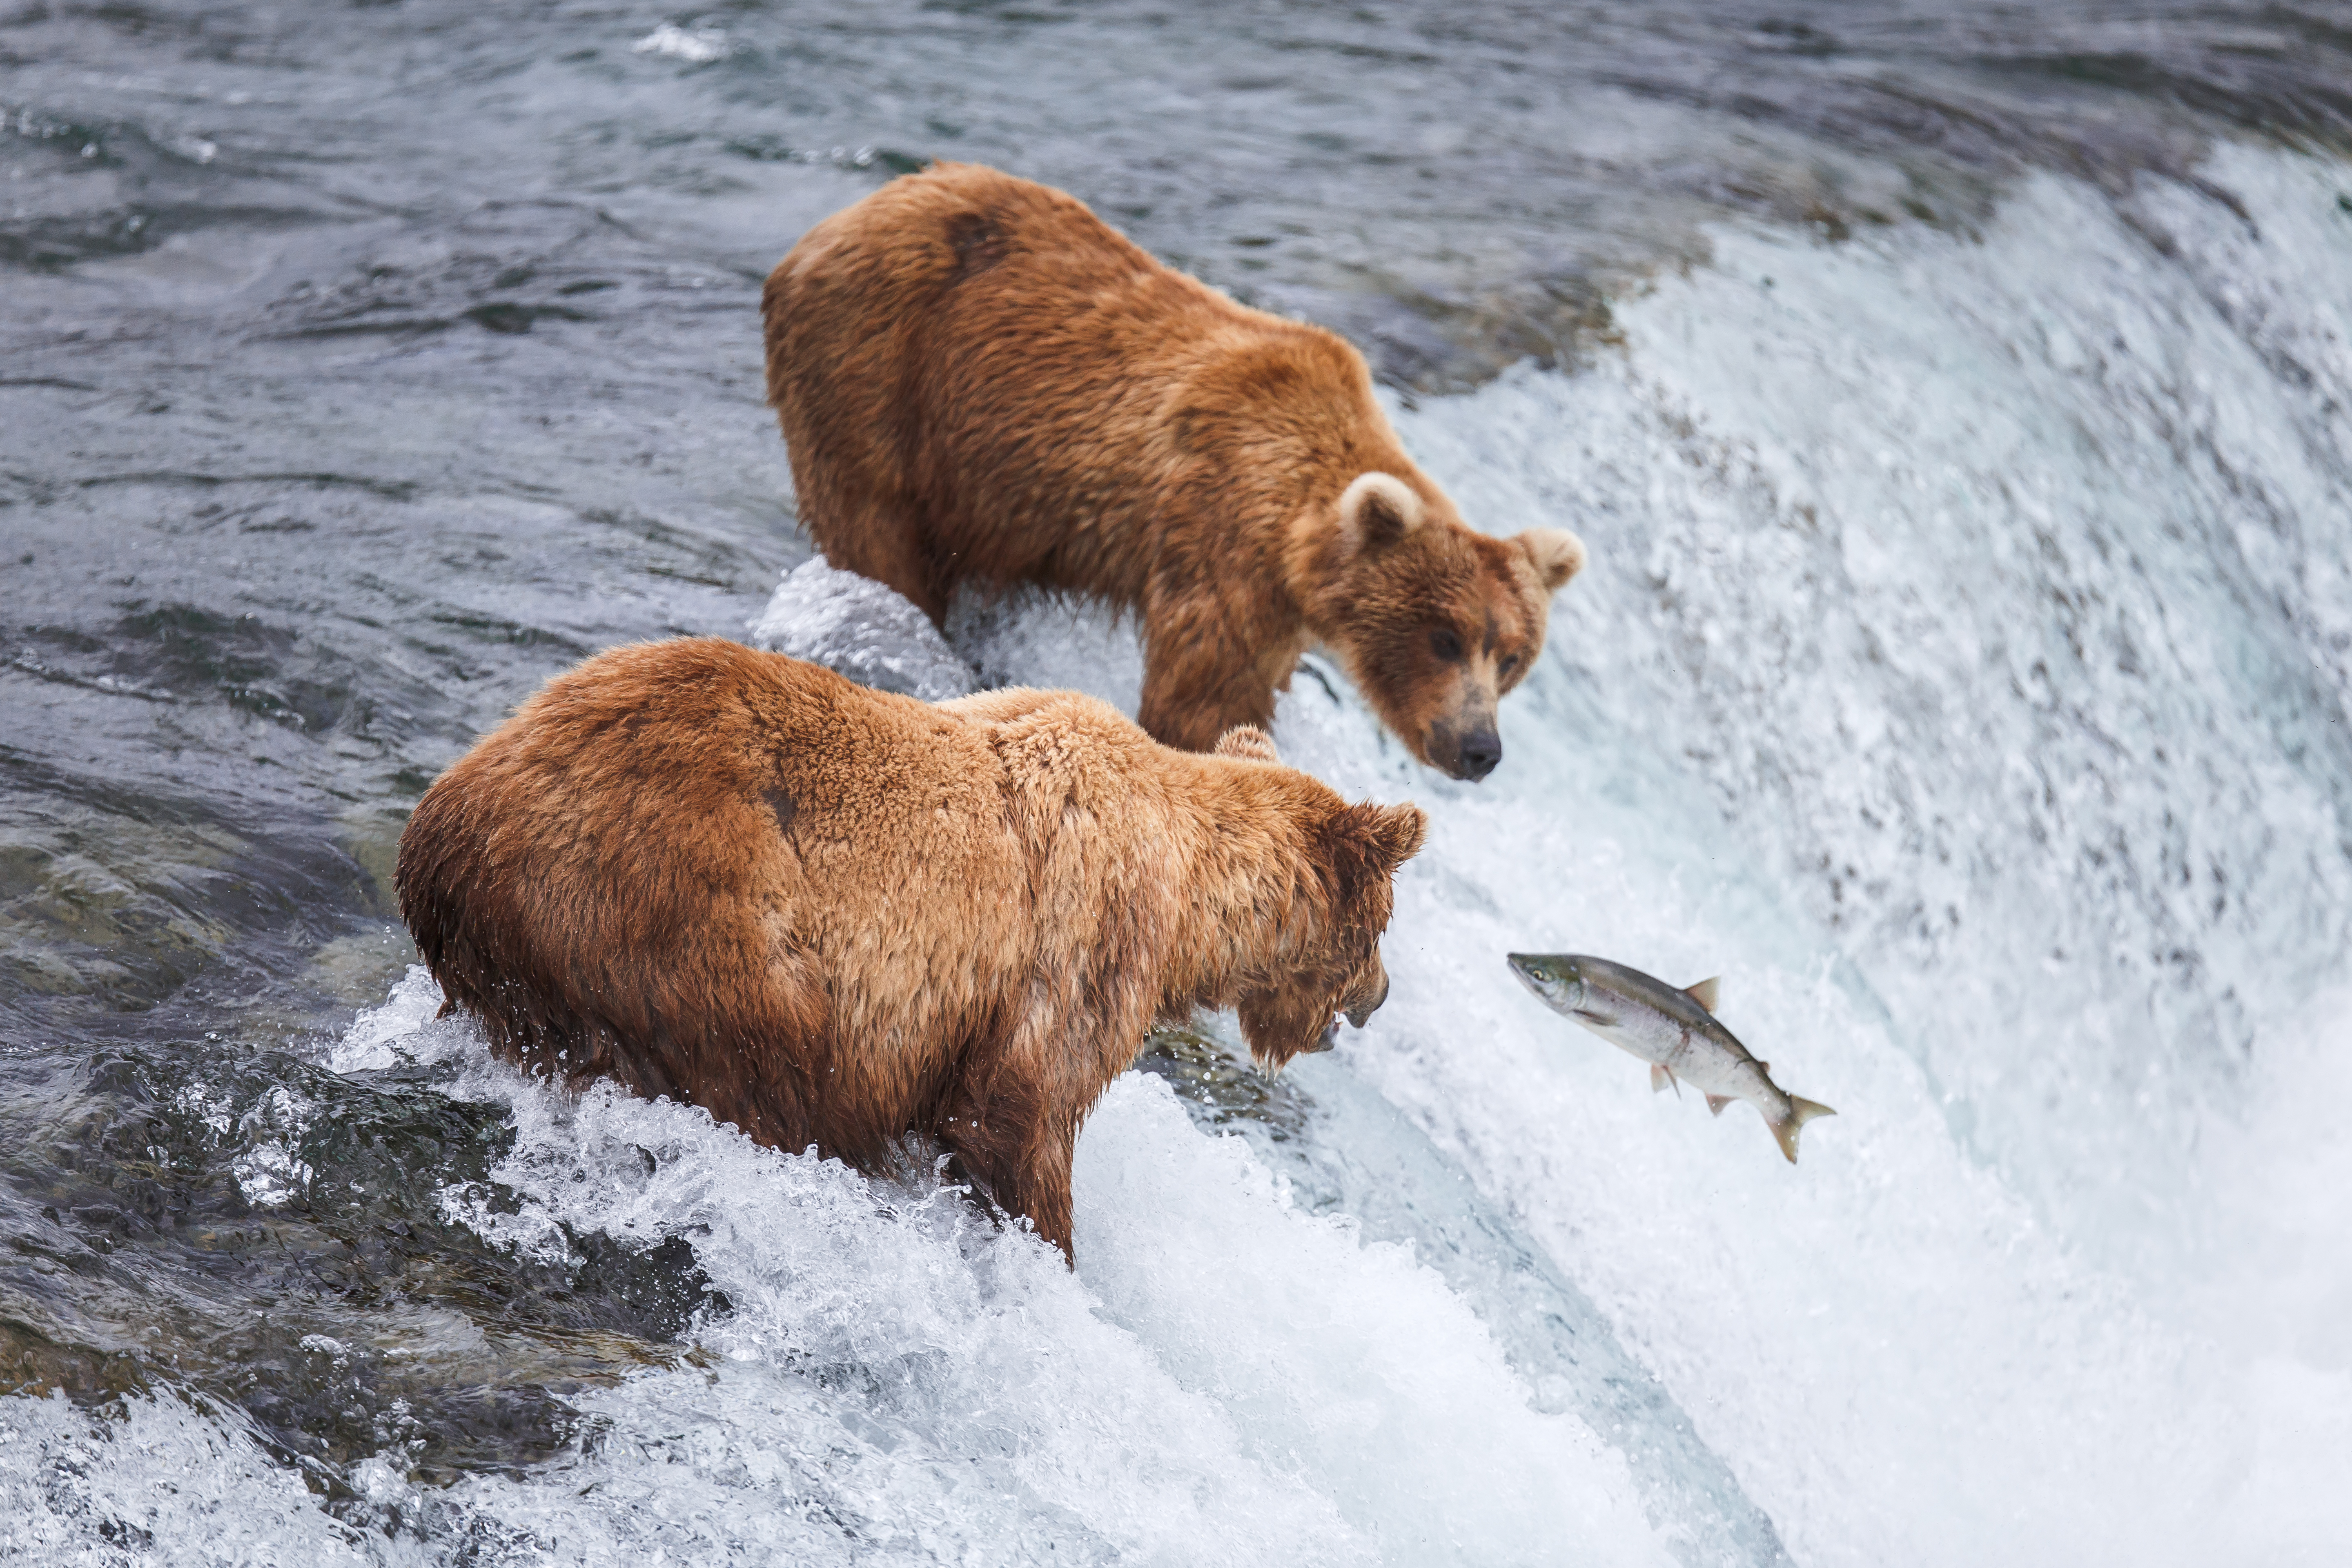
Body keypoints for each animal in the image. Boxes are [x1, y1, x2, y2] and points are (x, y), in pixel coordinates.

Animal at [395, 637, 1426, 1259]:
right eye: (1382, 922)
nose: (1378, 995)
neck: (1184, 903)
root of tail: (450, 825)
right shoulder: (1077, 942)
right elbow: (1024, 1113)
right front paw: (1050, 1248)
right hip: (692, 913)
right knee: (765, 1070)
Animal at [761, 162, 1586, 782]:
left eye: (1512, 656)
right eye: (1444, 637)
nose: (1480, 748)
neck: (1295, 538)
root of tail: (841, 218)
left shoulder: (1276, 610)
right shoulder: (1222, 544)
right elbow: (1200, 702)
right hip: (879, 375)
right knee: (876, 532)